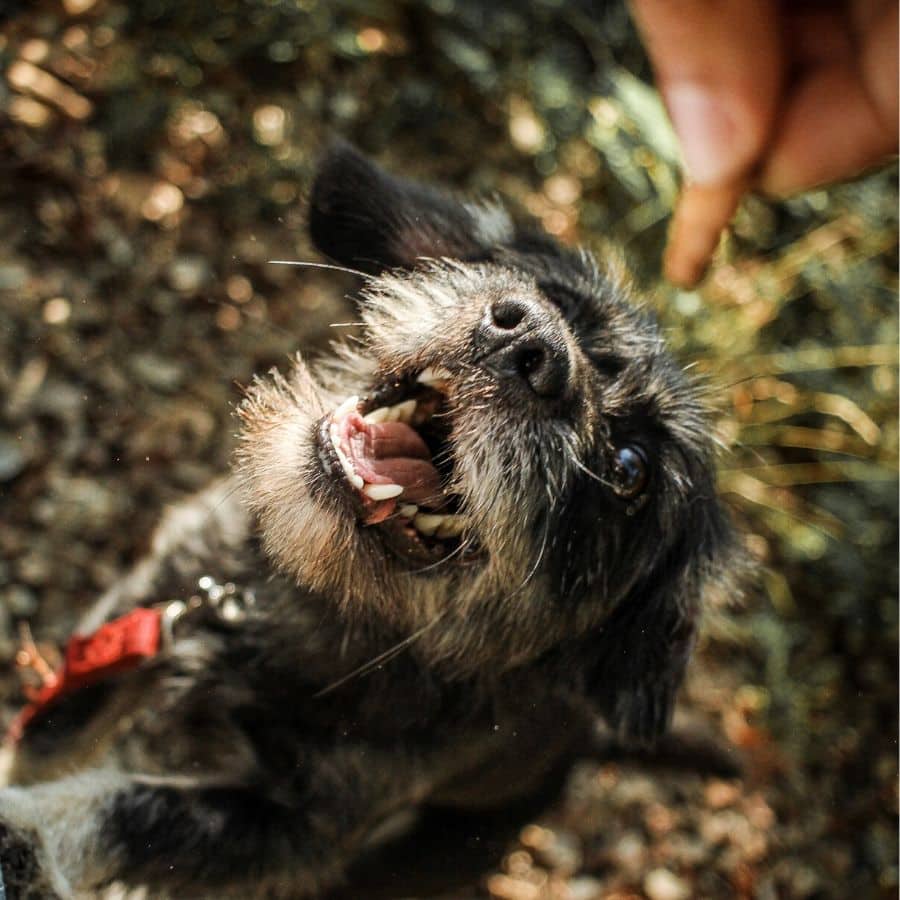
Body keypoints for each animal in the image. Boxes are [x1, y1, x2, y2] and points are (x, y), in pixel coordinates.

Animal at [0, 144, 740, 896]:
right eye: (557, 299)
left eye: (630, 470)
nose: (532, 342)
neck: (312, 602)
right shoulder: (146, 610)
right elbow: (53, 731)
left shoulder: (292, 829)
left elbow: (128, 811)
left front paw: (28, 833)